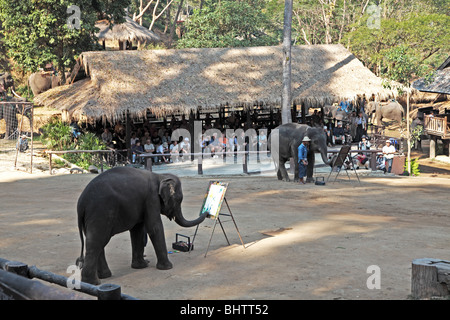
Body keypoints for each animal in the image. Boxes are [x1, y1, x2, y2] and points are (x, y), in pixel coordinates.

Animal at [77, 166, 207, 284]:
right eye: (179, 199)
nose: (206, 212)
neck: (160, 176)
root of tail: (81, 203)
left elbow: (137, 230)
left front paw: (140, 266)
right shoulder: (152, 198)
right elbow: (154, 227)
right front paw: (167, 268)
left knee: (97, 242)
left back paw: (103, 277)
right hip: (100, 212)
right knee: (96, 242)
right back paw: (93, 282)